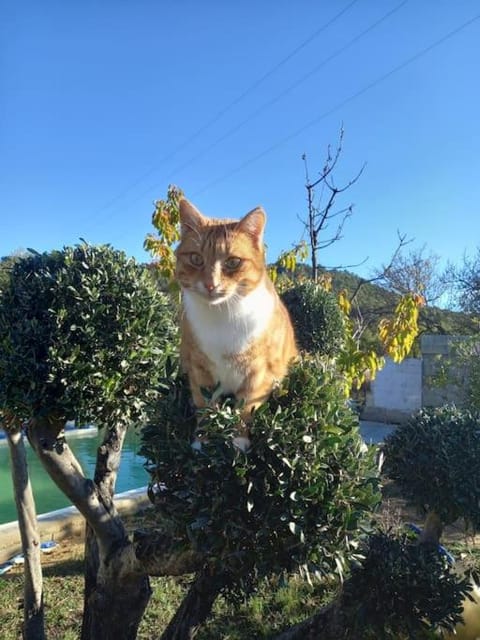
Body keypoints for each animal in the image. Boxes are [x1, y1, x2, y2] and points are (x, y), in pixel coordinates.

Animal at [174, 198, 298, 448]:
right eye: (196, 259)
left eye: (233, 262)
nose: (210, 285)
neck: (222, 315)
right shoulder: (199, 370)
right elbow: (205, 408)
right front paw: (201, 441)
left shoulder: (259, 373)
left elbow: (246, 407)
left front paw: (239, 441)